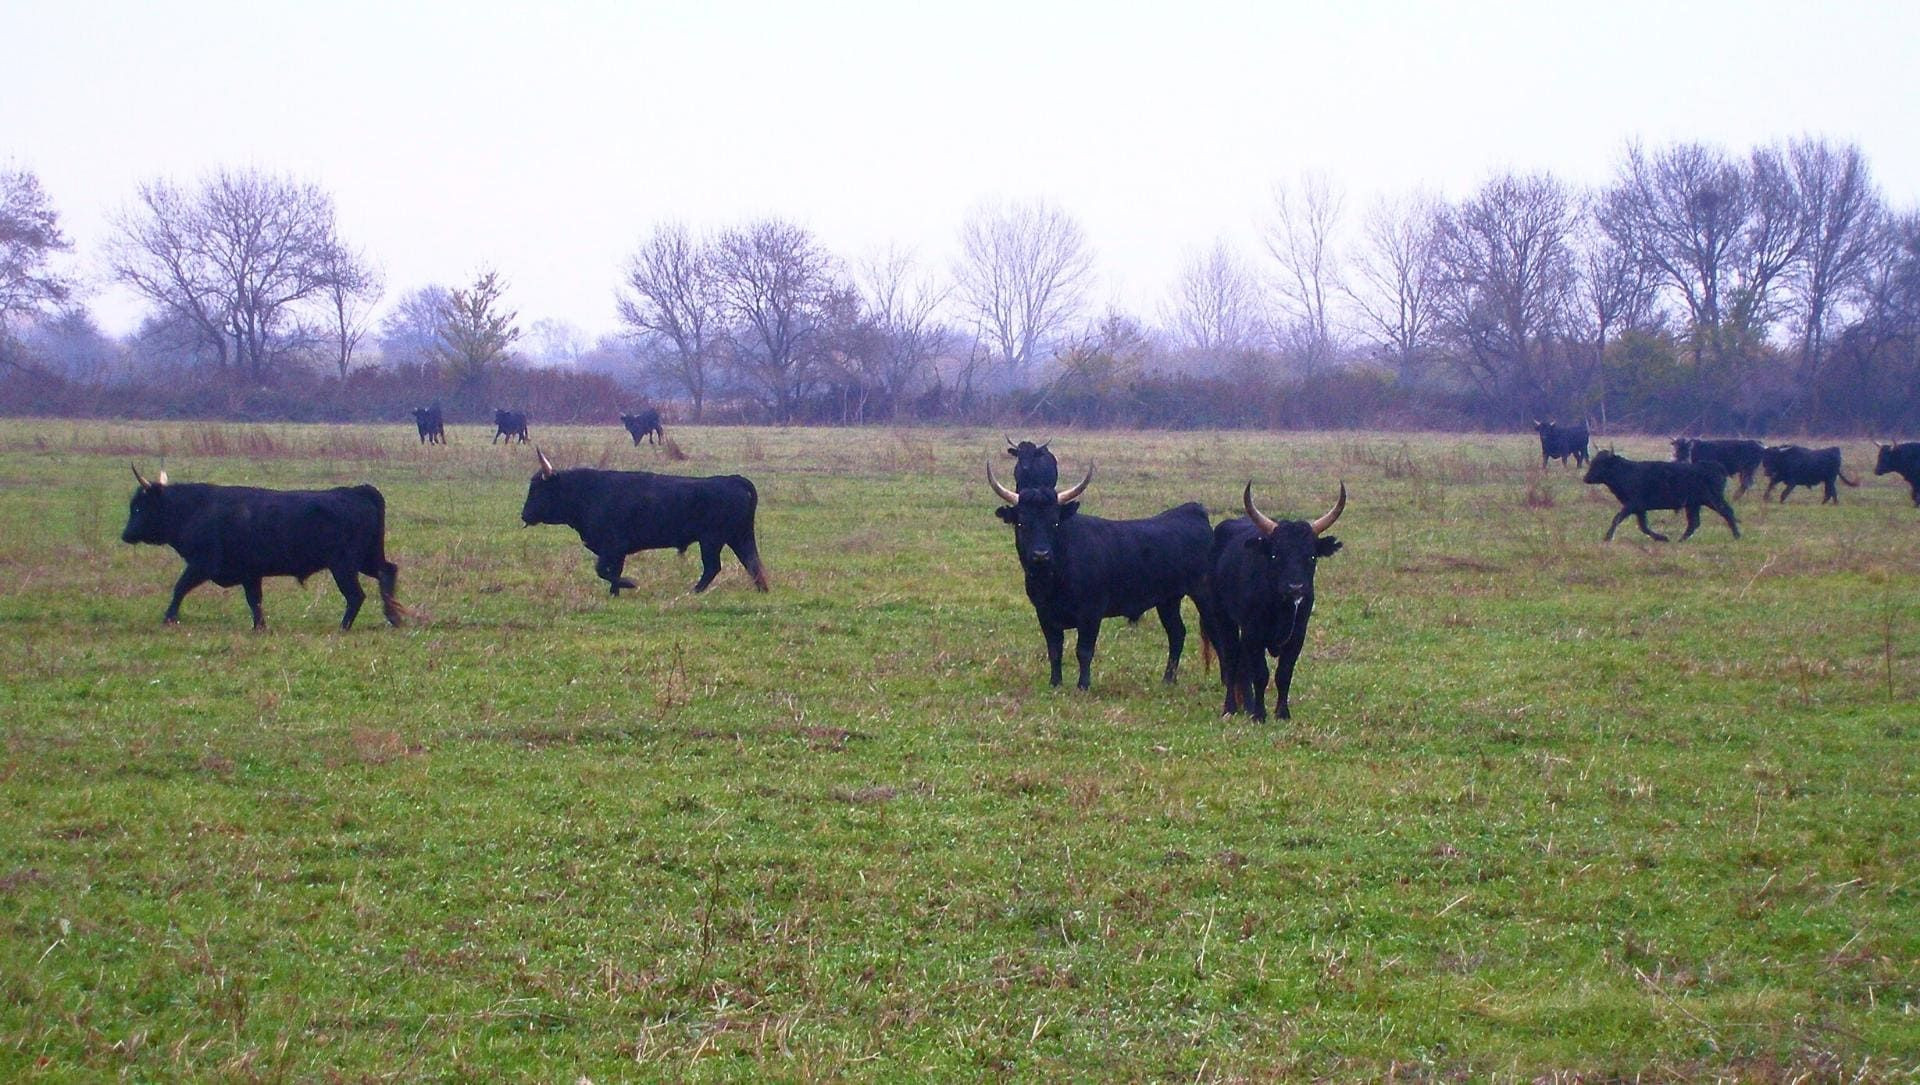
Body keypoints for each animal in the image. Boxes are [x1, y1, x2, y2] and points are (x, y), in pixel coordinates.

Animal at [119, 466, 402, 630]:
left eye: (138, 507)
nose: (125, 535)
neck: (195, 509)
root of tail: (358, 491)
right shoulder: (250, 573)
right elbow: (254, 601)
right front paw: (260, 627)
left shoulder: (202, 564)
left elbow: (179, 588)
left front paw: (169, 618)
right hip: (366, 559)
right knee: (387, 571)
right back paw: (393, 617)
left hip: (344, 566)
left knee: (356, 595)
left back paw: (344, 627)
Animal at [520, 449, 768, 596]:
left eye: (539, 489)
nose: (524, 515)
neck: (589, 492)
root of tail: (732, 479)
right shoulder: (616, 551)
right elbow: (612, 570)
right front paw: (615, 593)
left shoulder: (614, 545)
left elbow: (602, 570)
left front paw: (629, 584)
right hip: (739, 537)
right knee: (752, 562)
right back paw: (761, 589)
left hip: (712, 540)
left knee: (714, 567)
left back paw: (694, 591)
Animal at [987, 461, 1215, 691]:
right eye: (1021, 523)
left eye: (1055, 522)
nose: (1041, 555)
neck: (1053, 580)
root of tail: (1193, 510)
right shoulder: (1044, 614)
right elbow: (1054, 650)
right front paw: (1055, 683)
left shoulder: (1091, 613)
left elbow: (1084, 651)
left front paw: (1083, 685)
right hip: (1168, 600)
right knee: (1177, 633)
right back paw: (1168, 679)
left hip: (1203, 594)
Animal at [1202, 482, 1345, 722]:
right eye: (1276, 555)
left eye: (1312, 556)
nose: (1295, 587)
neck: (1281, 608)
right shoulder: (1253, 632)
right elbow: (1260, 674)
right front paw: (1259, 715)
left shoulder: (1298, 635)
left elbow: (1283, 674)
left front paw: (1282, 713)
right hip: (1223, 617)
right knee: (1231, 658)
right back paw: (1231, 707)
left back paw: (1247, 705)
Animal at [1582, 450, 1740, 542]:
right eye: (1593, 462)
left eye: (1600, 464)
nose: (1586, 478)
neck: (1626, 472)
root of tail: (1715, 466)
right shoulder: (1639, 508)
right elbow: (1643, 526)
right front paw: (1662, 537)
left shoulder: (1632, 504)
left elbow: (1617, 518)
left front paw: (1608, 537)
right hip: (1693, 504)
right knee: (1694, 522)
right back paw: (1681, 540)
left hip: (1713, 500)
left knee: (1727, 512)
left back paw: (1737, 536)